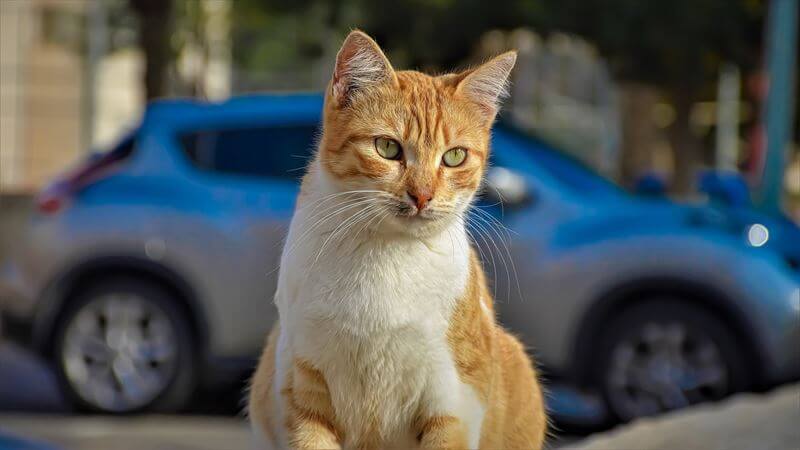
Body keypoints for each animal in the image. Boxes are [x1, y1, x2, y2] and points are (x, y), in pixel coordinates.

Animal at [250, 29, 548, 448]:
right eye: (388, 148)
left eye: (454, 157)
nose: (422, 195)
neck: (385, 254)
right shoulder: (303, 393)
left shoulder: (451, 403)